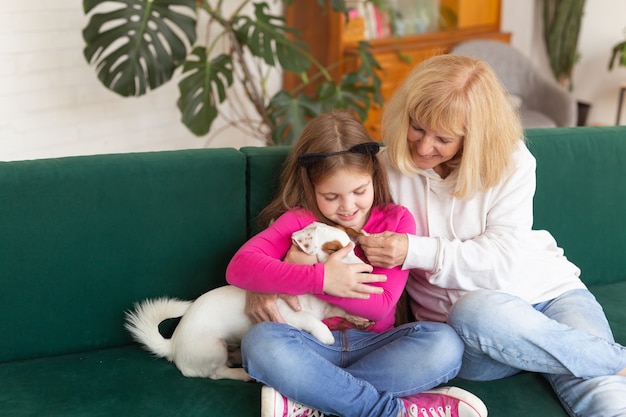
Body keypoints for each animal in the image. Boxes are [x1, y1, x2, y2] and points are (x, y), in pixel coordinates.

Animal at [125, 221, 370, 380]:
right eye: (334, 249)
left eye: (353, 247)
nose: (367, 270)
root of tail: (172, 345)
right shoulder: (288, 315)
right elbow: (311, 320)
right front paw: (326, 335)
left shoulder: (326, 309)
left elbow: (339, 310)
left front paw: (360, 319)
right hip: (214, 348)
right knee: (217, 373)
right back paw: (242, 373)